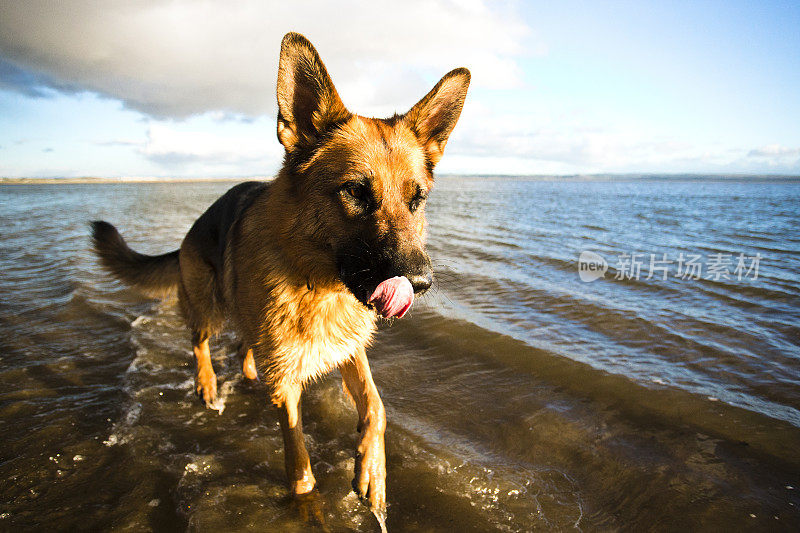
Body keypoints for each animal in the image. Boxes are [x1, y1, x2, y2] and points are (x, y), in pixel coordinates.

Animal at [91, 32, 468, 512]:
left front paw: (374, 473)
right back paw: (208, 384)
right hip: (210, 305)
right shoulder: (289, 384)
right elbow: (300, 465)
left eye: (416, 200)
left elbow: (376, 406)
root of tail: (192, 229)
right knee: (199, 340)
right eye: (355, 192)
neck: (320, 284)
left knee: (243, 349)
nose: (420, 283)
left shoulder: (349, 350)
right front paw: (308, 504)